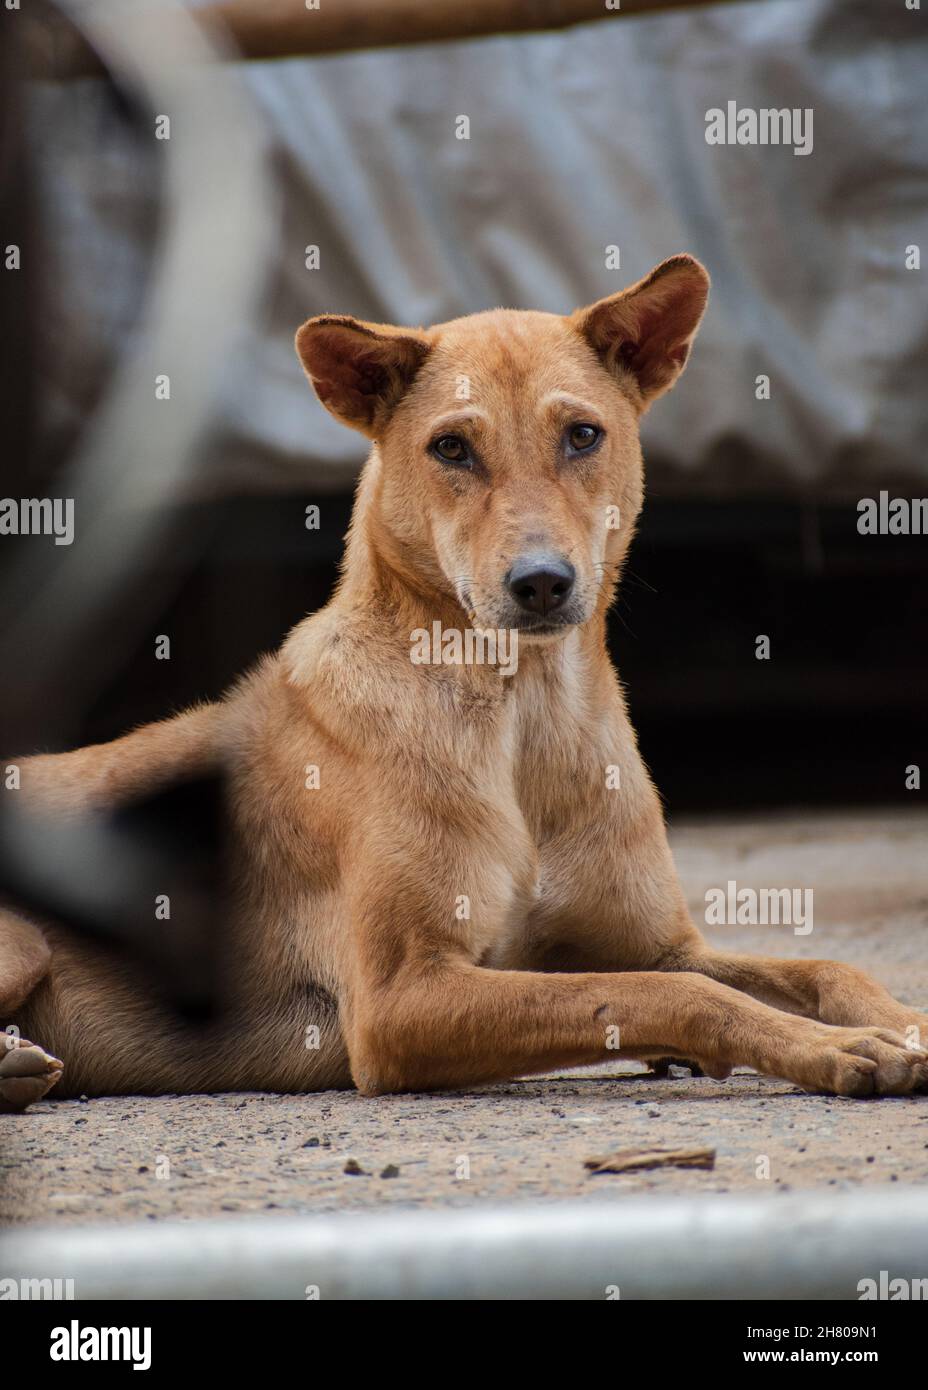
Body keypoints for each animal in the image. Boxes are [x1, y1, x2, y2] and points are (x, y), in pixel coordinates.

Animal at [1, 258, 928, 1106]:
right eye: (452, 447)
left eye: (582, 435)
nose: (542, 583)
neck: (526, 716)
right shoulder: (402, 1000)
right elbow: (664, 993)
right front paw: (834, 1048)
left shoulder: (656, 942)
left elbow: (818, 965)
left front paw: (896, 1022)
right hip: (28, 945)